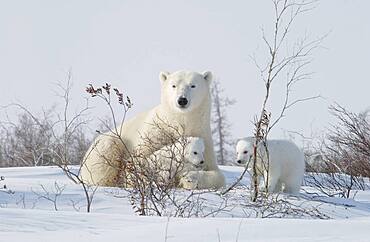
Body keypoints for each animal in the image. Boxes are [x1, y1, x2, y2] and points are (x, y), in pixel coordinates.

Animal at [80, 70, 225, 189]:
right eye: (173, 85)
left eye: (193, 85)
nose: (182, 100)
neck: (178, 122)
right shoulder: (155, 133)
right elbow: (139, 161)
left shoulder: (202, 134)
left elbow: (217, 174)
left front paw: (189, 178)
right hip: (106, 145)